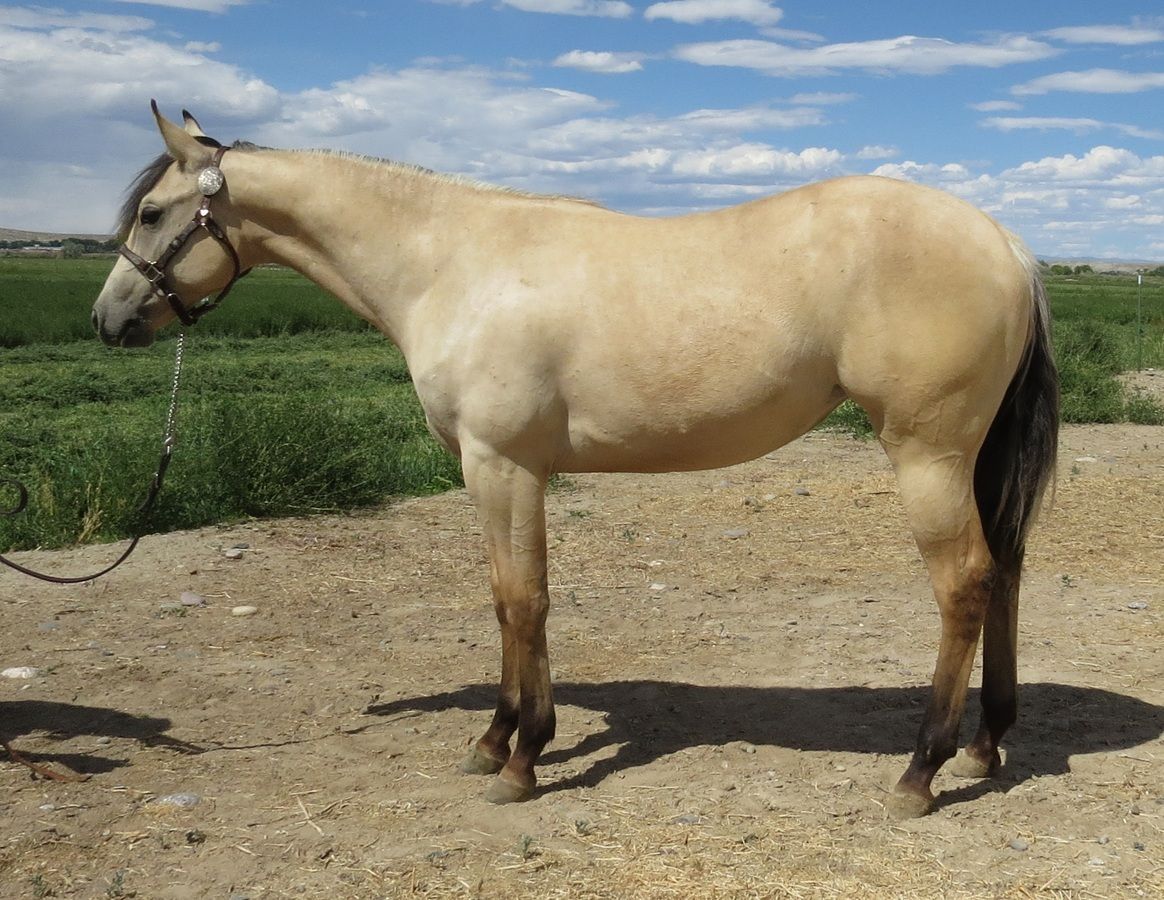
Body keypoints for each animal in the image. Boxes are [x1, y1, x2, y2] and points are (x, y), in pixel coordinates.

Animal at [92, 104, 1059, 818]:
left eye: (151, 213)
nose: (108, 320)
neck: (450, 264)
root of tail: (1005, 241)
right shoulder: (501, 473)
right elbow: (509, 601)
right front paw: (495, 742)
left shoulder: (502, 466)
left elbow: (523, 603)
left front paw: (522, 761)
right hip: (970, 460)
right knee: (1006, 573)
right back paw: (984, 745)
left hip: (927, 455)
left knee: (965, 585)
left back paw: (920, 771)